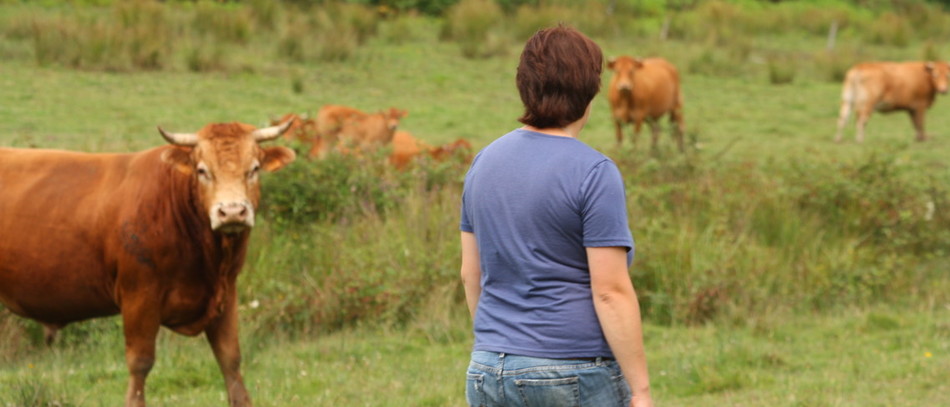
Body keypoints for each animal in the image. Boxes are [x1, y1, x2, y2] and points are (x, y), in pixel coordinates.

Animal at [0, 119, 296, 406]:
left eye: (254, 168)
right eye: (202, 171)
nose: (232, 212)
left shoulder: (226, 294)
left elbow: (231, 359)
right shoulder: (139, 295)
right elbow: (140, 362)